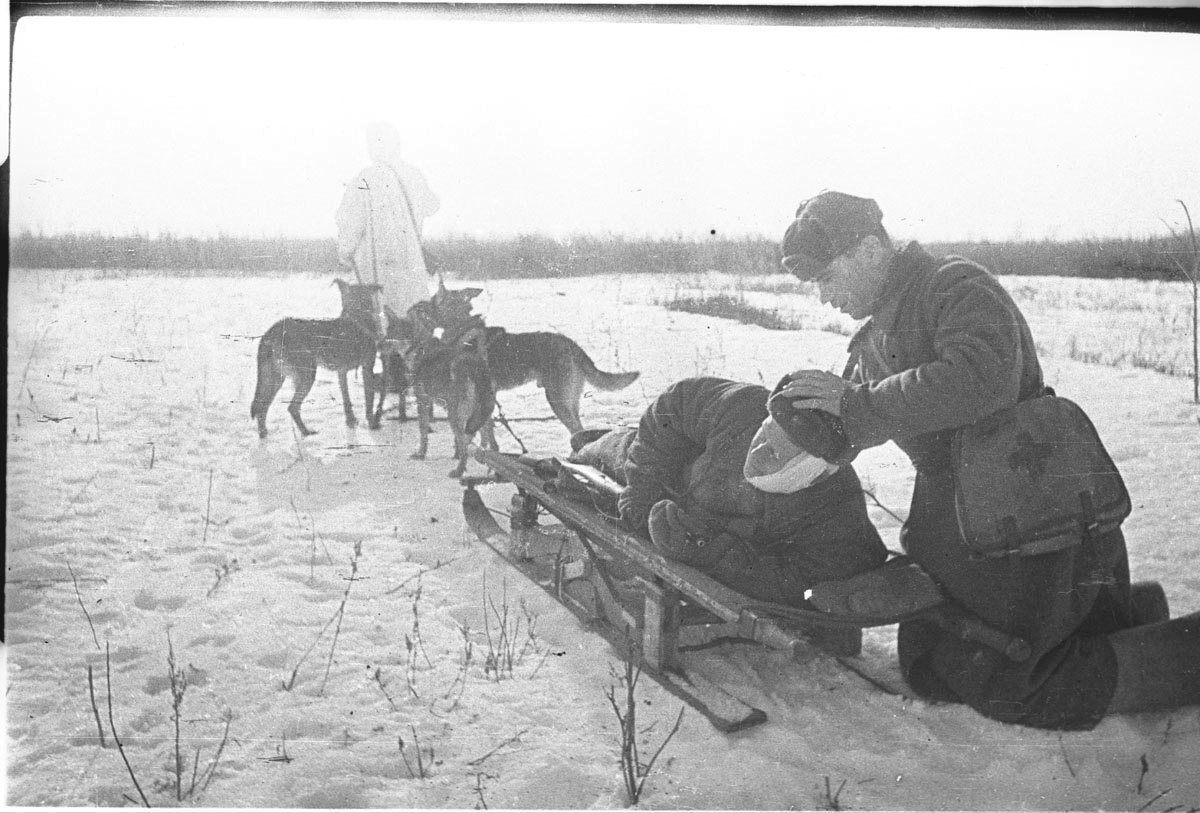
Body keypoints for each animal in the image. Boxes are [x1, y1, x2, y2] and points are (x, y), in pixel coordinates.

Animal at [249, 280, 384, 438]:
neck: (357, 318)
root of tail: (273, 330)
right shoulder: (366, 368)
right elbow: (369, 402)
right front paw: (372, 424)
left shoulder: (342, 372)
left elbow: (346, 399)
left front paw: (350, 421)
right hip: (307, 374)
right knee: (291, 407)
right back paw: (306, 432)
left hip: (275, 377)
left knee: (262, 406)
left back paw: (264, 436)